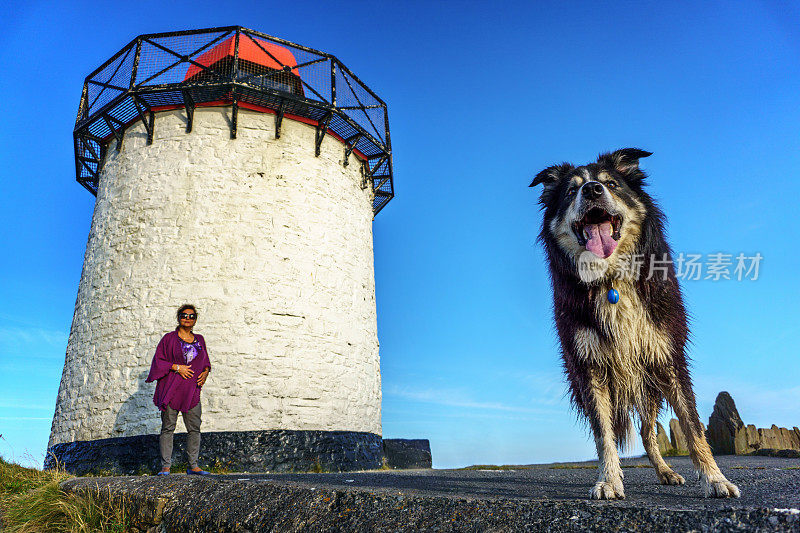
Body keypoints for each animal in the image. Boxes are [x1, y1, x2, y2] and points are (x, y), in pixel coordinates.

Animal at [528, 150, 740, 498]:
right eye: (571, 191)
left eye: (611, 183)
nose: (592, 190)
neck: (610, 278)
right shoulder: (590, 366)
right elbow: (603, 435)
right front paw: (608, 480)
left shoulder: (667, 356)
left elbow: (693, 427)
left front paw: (715, 479)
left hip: (647, 383)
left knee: (647, 431)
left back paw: (666, 472)